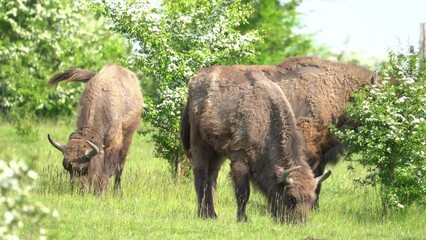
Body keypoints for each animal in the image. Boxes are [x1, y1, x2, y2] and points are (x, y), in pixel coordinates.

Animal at [47, 63, 142, 193]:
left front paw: (101, 191)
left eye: (86, 168)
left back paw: (117, 191)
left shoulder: (113, 143)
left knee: (120, 165)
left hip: (128, 136)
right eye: (68, 168)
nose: (78, 190)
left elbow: (107, 168)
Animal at [181, 65, 332, 223]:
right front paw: (242, 219)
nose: (298, 222)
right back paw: (203, 214)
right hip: (199, 144)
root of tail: (195, 80)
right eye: (291, 198)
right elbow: (243, 193)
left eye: (311, 199)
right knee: (201, 176)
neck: (265, 119)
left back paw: (212, 214)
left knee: (212, 177)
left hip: (217, 152)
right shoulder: (240, 160)